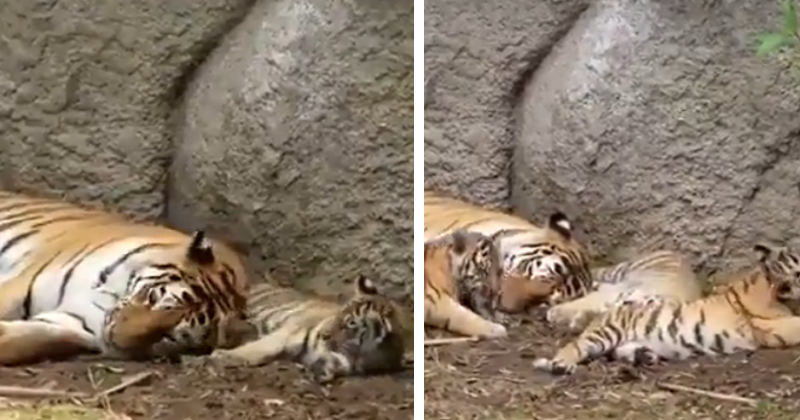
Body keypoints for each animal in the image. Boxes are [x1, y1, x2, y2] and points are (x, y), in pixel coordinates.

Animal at [0, 190, 250, 364]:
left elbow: (29, 341)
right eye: (153, 297)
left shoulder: (73, 323)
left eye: (169, 336)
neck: (108, 298)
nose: (113, 337)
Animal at [206, 274, 412, 382]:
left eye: (350, 324)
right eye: (340, 313)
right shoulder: (287, 333)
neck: (359, 354)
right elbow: (260, 348)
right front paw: (222, 356)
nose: (324, 334)